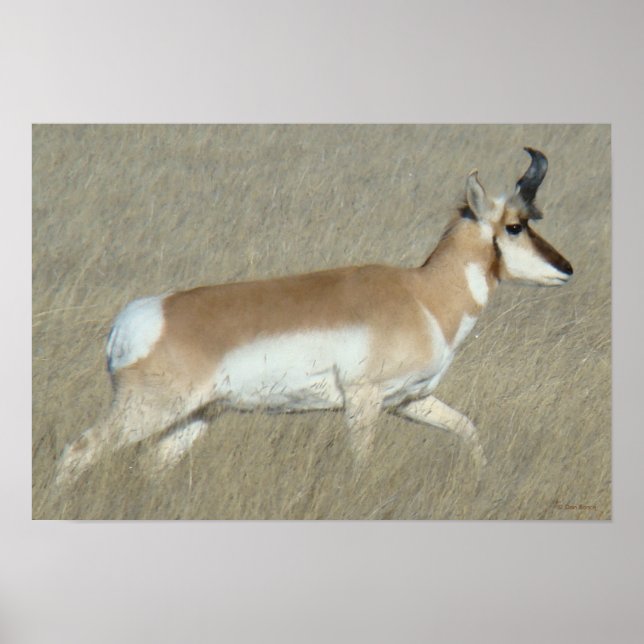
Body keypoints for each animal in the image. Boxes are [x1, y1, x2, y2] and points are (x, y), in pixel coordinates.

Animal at [54, 148, 573, 488]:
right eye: (514, 226)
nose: (566, 269)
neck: (421, 295)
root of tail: (133, 320)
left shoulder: (410, 401)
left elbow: (468, 430)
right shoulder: (363, 402)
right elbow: (362, 465)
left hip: (194, 417)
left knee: (151, 465)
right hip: (149, 411)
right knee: (77, 452)